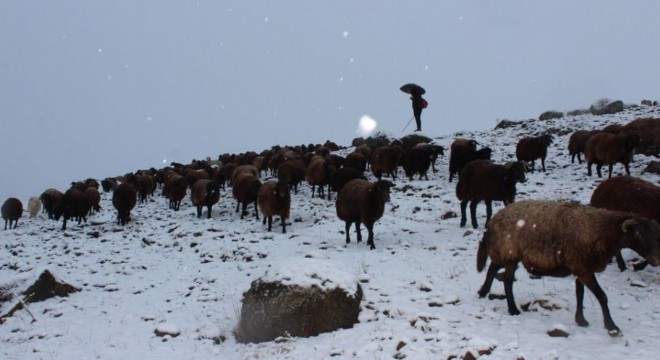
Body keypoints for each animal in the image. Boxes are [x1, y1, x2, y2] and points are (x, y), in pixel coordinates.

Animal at [476, 200, 660, 338]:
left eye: (656, 234)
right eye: (638, 234)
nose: (657, 259)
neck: (603, 232)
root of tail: (492, 221)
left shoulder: (580, 268)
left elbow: (580, 294)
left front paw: (581, 320)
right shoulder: (584, 268)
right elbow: (602, 296)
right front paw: (612, 328)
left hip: (505, 253)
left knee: (493, 267)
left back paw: (483, 292)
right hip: (510, 254)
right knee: (507, 280)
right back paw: (513, 309)